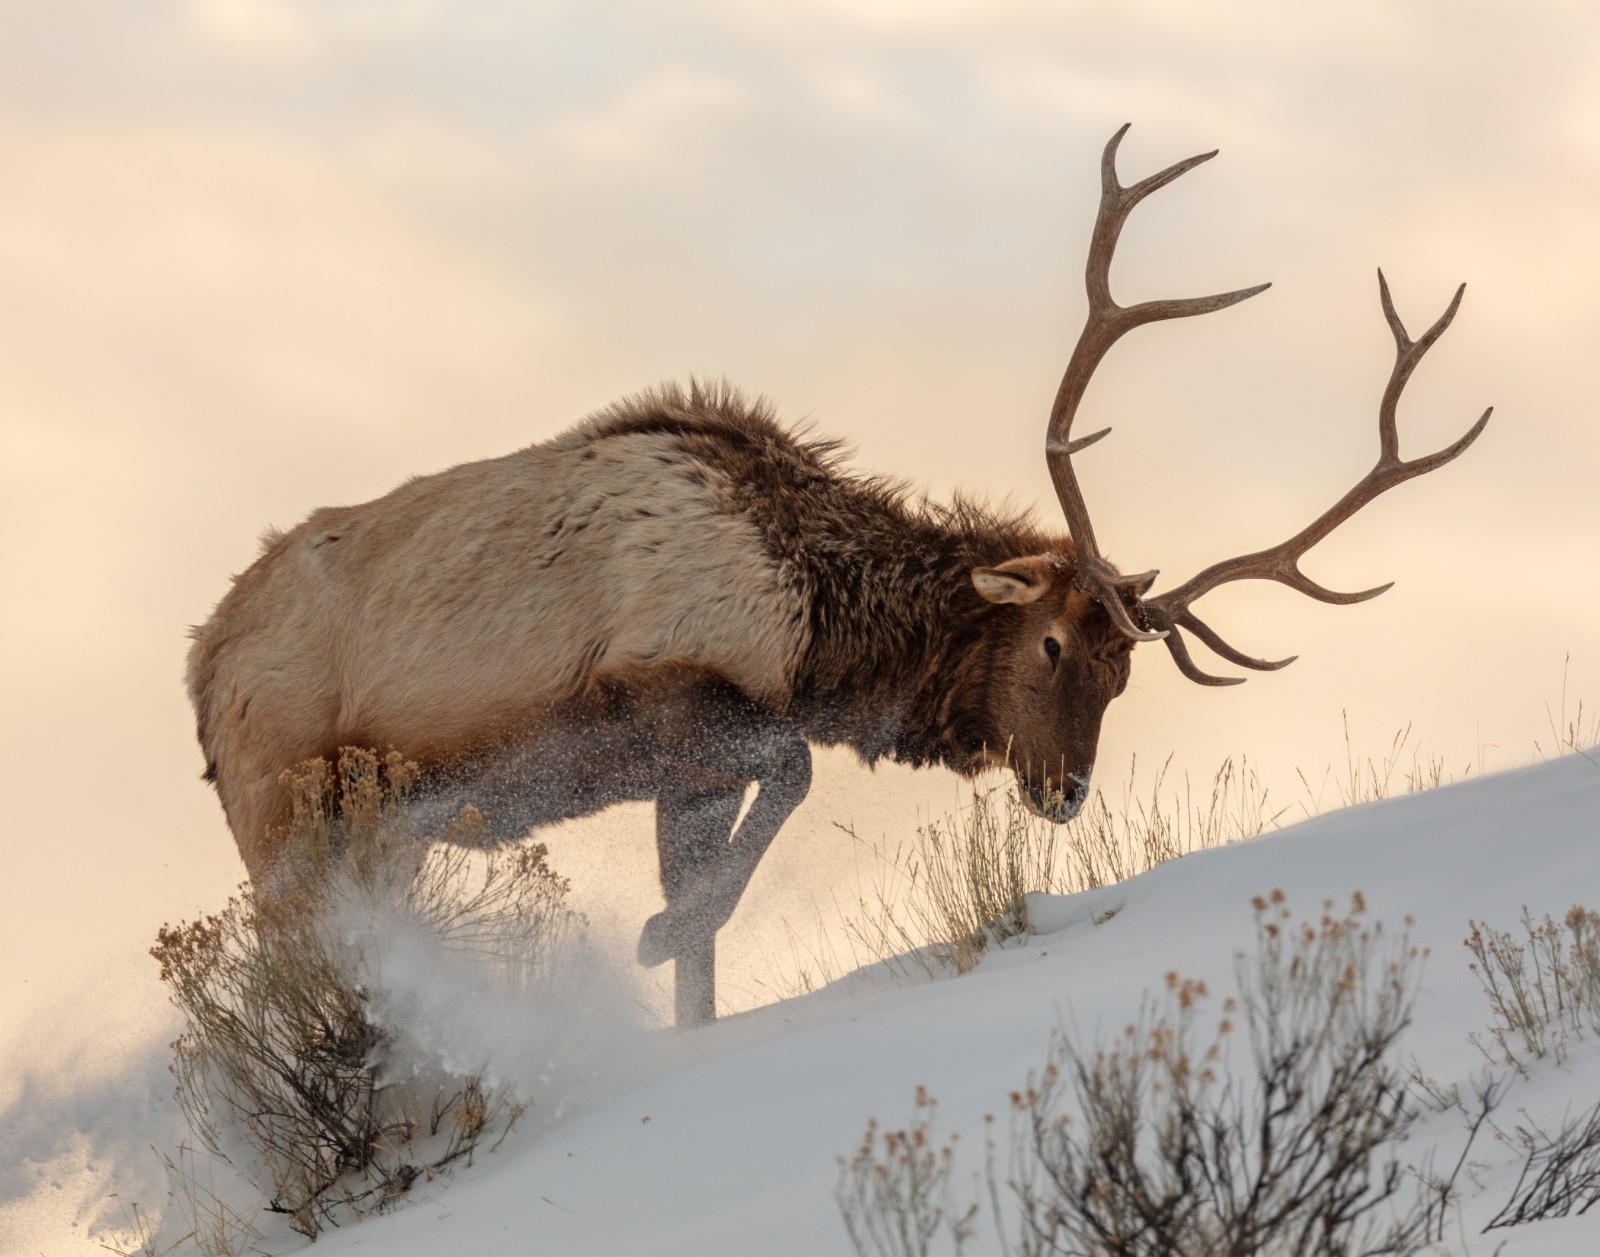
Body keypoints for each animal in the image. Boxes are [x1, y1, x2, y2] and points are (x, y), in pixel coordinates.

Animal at [186, 125, 1490, 1026]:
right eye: (1054, 643)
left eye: (1127, 677)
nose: (1064, 791)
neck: (821, 629)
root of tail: (200, 667)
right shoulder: (665, 694)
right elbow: (792, 778)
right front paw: (650, 935)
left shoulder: (682, 774)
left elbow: (712, 938)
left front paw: (676, 972)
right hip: (282, 817)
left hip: (373, 835)